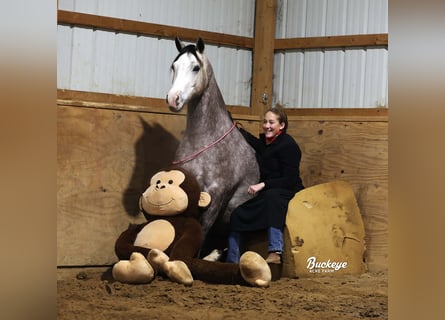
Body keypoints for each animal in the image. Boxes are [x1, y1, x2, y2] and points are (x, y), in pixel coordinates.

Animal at [166, 37, 256, 256]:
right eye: (174, 66)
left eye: (196, 67)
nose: (173, 99)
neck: (204, 141)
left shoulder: (215, 197)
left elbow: (201, 231)